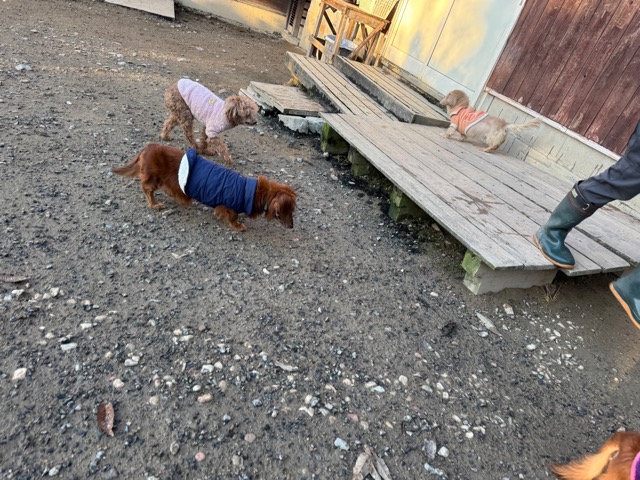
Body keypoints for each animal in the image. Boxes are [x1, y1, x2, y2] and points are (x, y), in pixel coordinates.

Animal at [112, 144, 296, 232]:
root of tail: (149, 146)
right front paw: (238, 226)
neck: (257, 192)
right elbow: (232, 217)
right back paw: (154, 204)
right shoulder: (231, 206)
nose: (292, 226)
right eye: (287, 210)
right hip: (154, 178)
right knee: (146, 188)